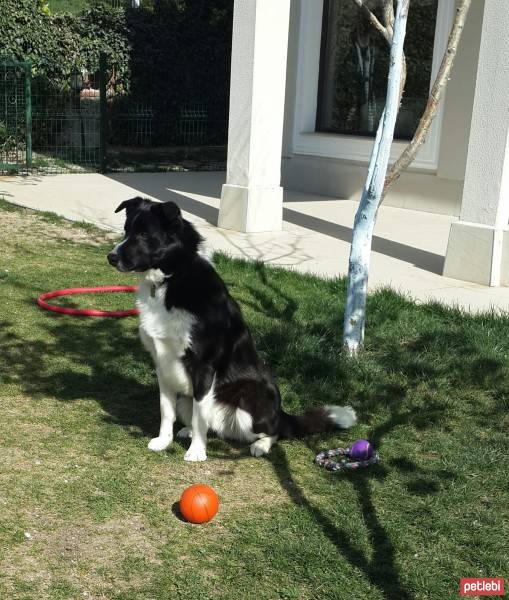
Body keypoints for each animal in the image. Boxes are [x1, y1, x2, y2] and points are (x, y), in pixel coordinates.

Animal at [108, 199, 354, 462]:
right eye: (126, 230)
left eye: (144, 235)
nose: (110, 257)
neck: (173, 278)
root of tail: (280, 412)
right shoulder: (161, 363)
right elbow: (167, 410)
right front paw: (164, 441)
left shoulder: (204, 368)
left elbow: (200, 416)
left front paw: (197, 451)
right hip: (187, 398)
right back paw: (187, 431)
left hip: (250, 404)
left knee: (274, 431)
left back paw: (261, 445)